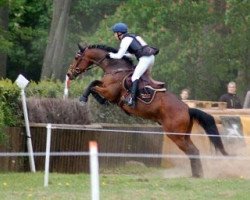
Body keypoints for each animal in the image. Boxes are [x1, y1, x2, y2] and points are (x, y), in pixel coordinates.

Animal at [67, 43, 229, 177]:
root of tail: (187, 109)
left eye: (76, 57)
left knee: (192, 151)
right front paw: (97, 100)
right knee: (194, 151)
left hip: (175, 135)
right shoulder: (106, 88)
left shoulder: (110, 92)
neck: (116, 69)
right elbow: (95, 83)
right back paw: (197, 174)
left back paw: (197, 175)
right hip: (183, 135)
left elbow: (92, 85)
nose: (69, 74)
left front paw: (83, 99)